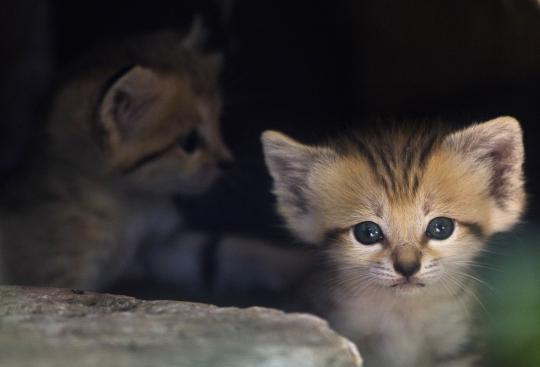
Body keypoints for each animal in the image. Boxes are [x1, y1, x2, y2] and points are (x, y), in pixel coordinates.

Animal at [0, 21, 231, 292]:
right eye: (189, 142)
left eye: (218, 122)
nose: (228, 162)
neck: (132, 205)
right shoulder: (61, 276)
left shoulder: (162, 245)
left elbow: (224, 252)